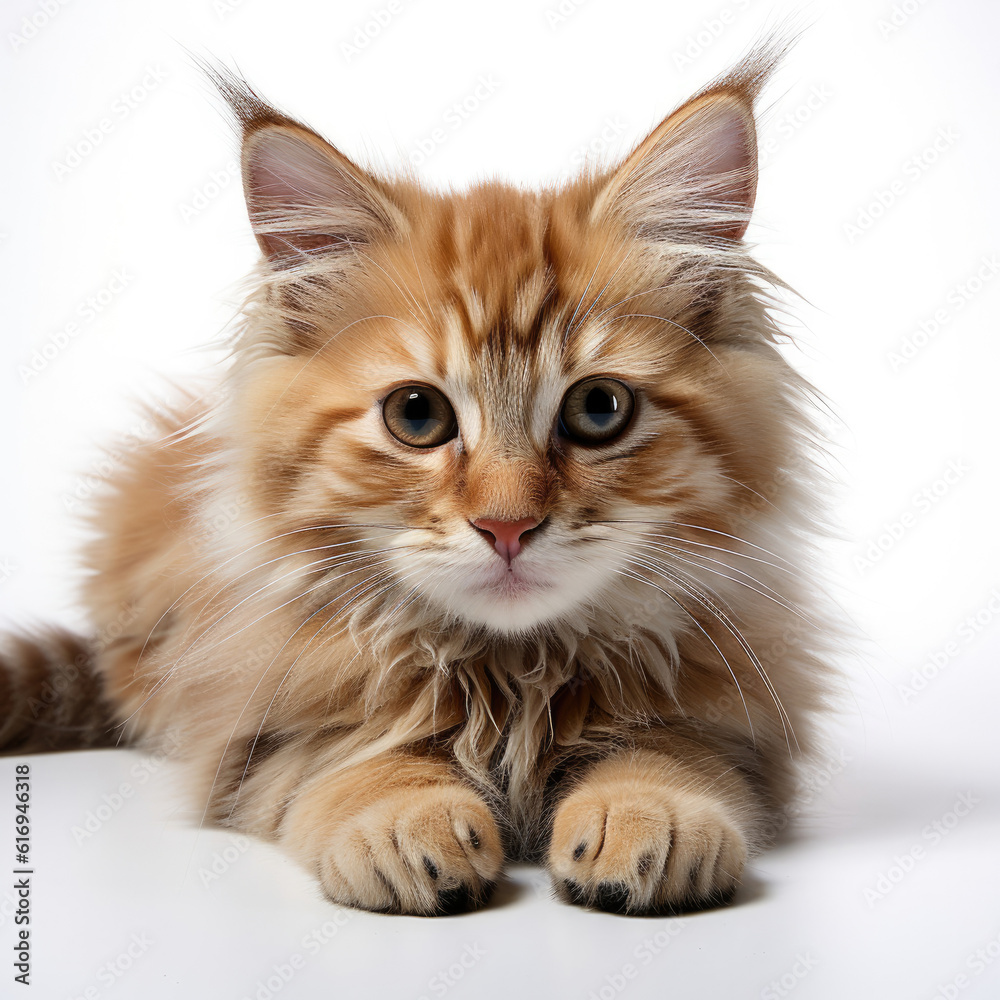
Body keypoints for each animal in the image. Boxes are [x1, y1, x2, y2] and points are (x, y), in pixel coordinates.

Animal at [0, 41, 828, 916]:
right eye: (417, 416)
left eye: (599, 409)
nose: (507, 527)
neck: (513, 677)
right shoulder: (253, 739)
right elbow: (354, 761)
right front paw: (404, 821)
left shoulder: (744, 726)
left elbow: (670, 750)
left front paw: (645, 813)